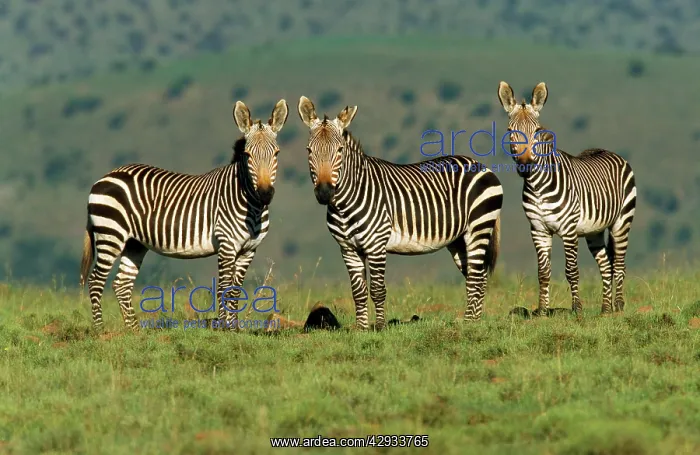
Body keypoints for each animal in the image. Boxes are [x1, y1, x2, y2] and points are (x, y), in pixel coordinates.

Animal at [79, 99, 289, 330]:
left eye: (277, 153)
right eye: (248, 155)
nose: (265, 193)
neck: (250, 203)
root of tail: (105, 177)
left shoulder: (249, 250)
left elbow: (235, 290)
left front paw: (235, 329)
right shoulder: (226, 244)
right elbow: (224, 287)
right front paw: (224, 329)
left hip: (134, 243)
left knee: (121, 283)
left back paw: (134, 331)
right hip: (110, 234)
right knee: (96, 281)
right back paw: (100, 330)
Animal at [297, 96, 503, 330]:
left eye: (339, 150)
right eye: (309, 150)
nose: (324, 193)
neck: (344, 206)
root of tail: (481, 165)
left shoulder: (376, 245)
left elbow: (377, 290)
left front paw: (379, 327)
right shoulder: (347, 249)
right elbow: (358, 292)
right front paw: (361, 328)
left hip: (478, 227)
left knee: (476, 277)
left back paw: (469, 322)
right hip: (459, 240)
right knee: (477, 276)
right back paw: (473, 321)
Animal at [496, 81, 636, 315]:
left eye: (537, 131)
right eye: (510, 132)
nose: (525, 166)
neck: (538, 187)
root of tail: (607, 150)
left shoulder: (569, 229)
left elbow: (571, 270)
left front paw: (577, 309)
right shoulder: (538, 230)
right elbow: (543, 272)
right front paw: (542, 311)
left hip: (621, 222)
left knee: (619, 264)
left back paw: (618, 305)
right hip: (594, 231)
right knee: (606, 264)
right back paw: (605, 309)